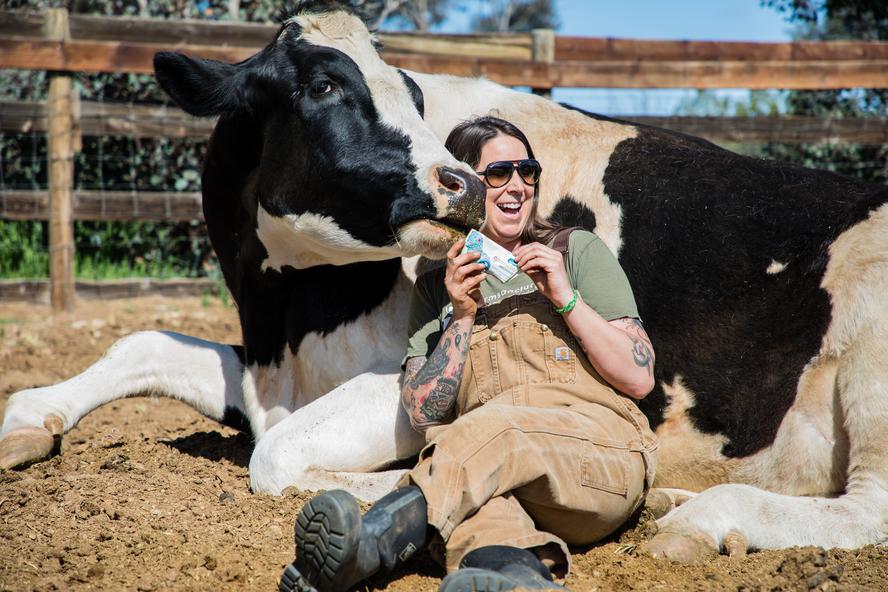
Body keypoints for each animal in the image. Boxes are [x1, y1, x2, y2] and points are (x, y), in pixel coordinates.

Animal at [1, 1, 888, 564]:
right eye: (323, 85)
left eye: (413, 92)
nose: (459, 183)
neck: (282, 317)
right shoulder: (262, 368)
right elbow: (142, 341)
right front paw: (26, 422)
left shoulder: (389, 383)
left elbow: (278, 457)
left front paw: (383, 479)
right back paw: (673, 503)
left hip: (872, 362)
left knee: (868, 505)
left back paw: (700, 519)